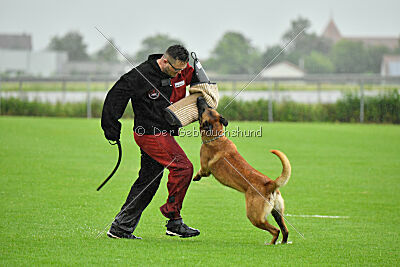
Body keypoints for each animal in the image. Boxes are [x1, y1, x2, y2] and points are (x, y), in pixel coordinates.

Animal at [194, 97, 290, 246]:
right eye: (207, 107)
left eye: (203, 109)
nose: (199, 98)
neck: (217, 136)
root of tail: (271, 183)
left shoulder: (205, 168)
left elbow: (200, 171)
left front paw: (196, 177)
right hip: (277, 213)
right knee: (285, 230)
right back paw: (283, 243)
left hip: (254, 217)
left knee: (275, 230)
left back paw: (271, 243)